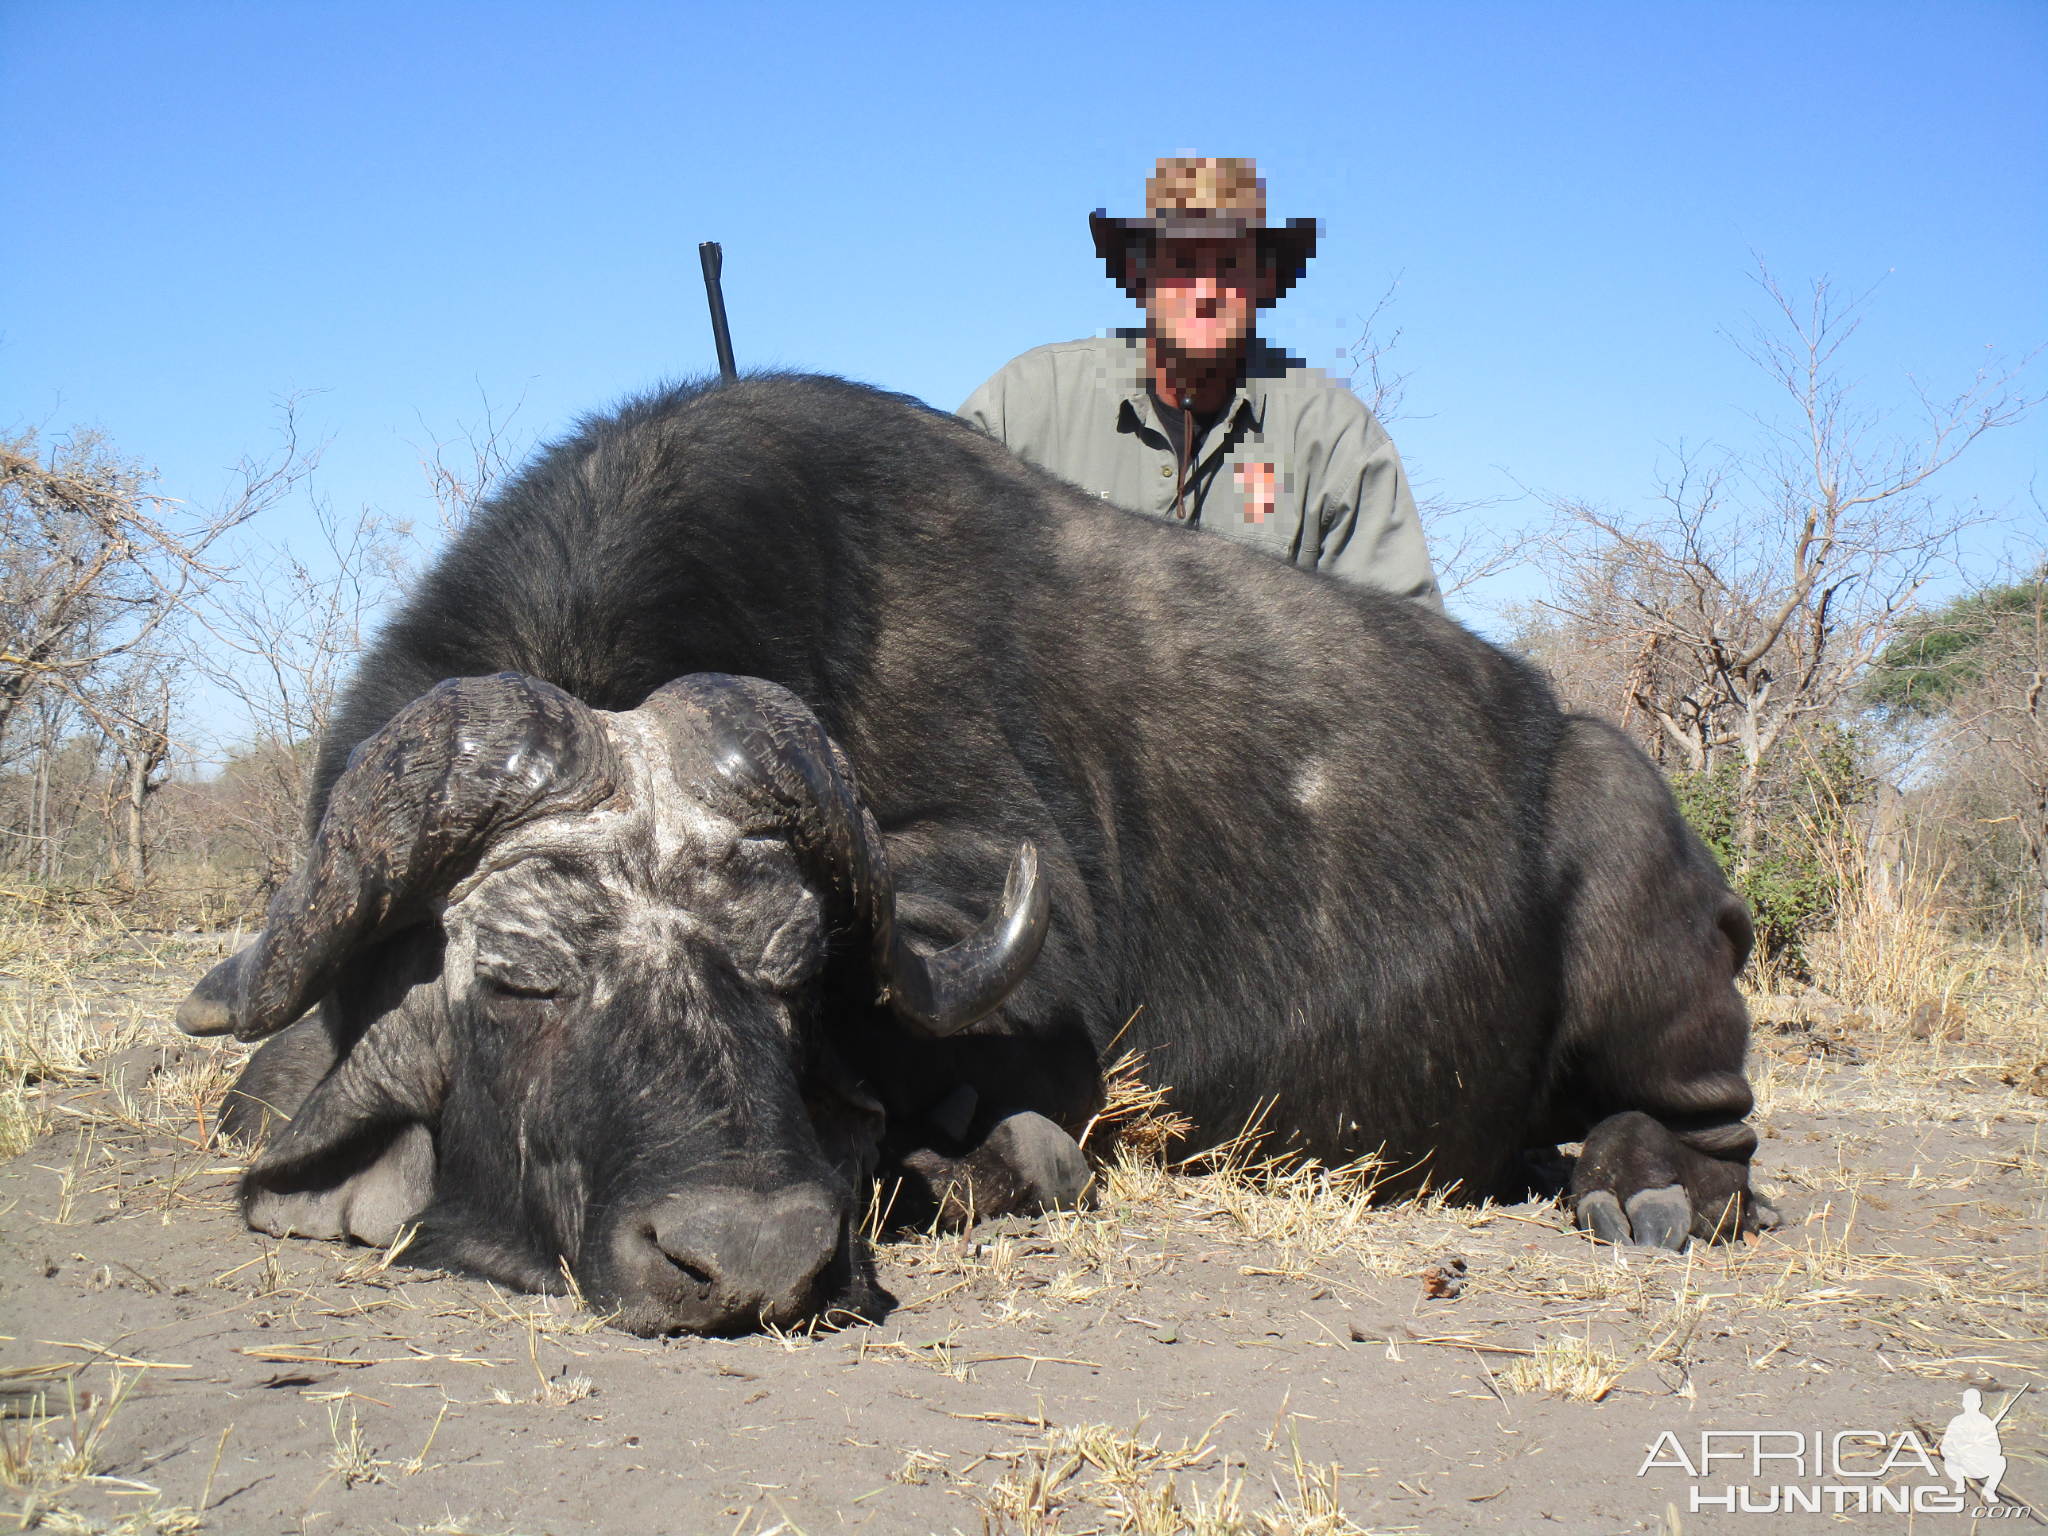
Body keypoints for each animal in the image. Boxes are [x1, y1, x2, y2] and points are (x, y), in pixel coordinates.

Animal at [180, 370, 1777, 1335]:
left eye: (794, 974)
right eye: (516, 976)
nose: (747, 1255)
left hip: (1649, 934)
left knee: (1712, 1123)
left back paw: (1645, 1188)